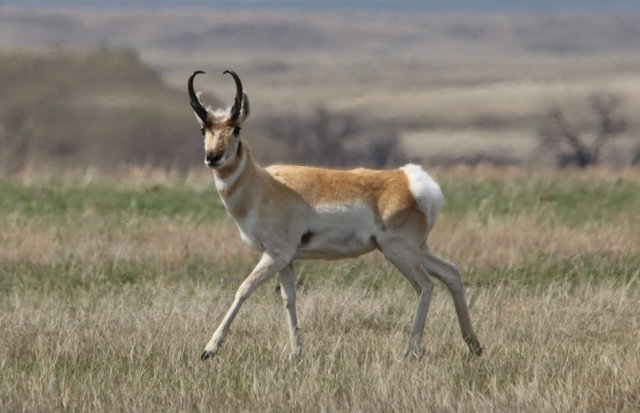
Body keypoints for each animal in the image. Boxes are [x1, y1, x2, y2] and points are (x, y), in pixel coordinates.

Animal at [188, 69, 482, 358]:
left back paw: (411, 350)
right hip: (417, 250)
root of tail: (409, 180)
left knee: (426, 285)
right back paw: (474, 345)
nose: (212, 157)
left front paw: (209, 349)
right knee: (451, 273)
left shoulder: (275, 254)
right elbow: (289, 299)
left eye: (237, 128)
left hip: (400, 252)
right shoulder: (286, 259)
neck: (264, 185)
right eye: (203, 129)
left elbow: (244, 289)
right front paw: (296, 353)